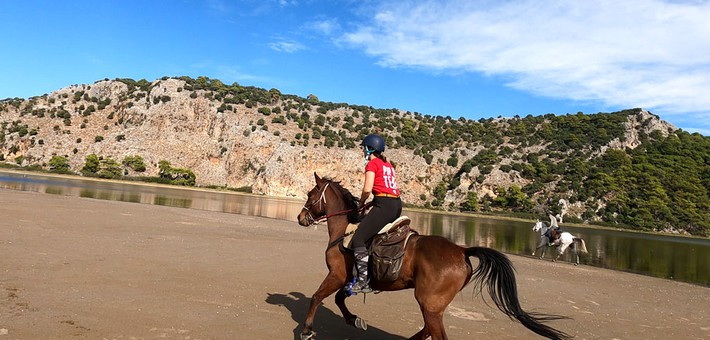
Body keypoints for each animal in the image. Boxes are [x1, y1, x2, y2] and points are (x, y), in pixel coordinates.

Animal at [298, 174, 572, 338]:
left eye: (311, 196)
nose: (301, 218)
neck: (342, 232)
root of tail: (462, 250)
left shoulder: (336, 275)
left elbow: (317, 297)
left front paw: (307, 330)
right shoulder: (347, 280)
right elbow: (339, 300)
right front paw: (354, 319)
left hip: (428, 303)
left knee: (434, 332)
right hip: (433, 306)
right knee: (428, 330)